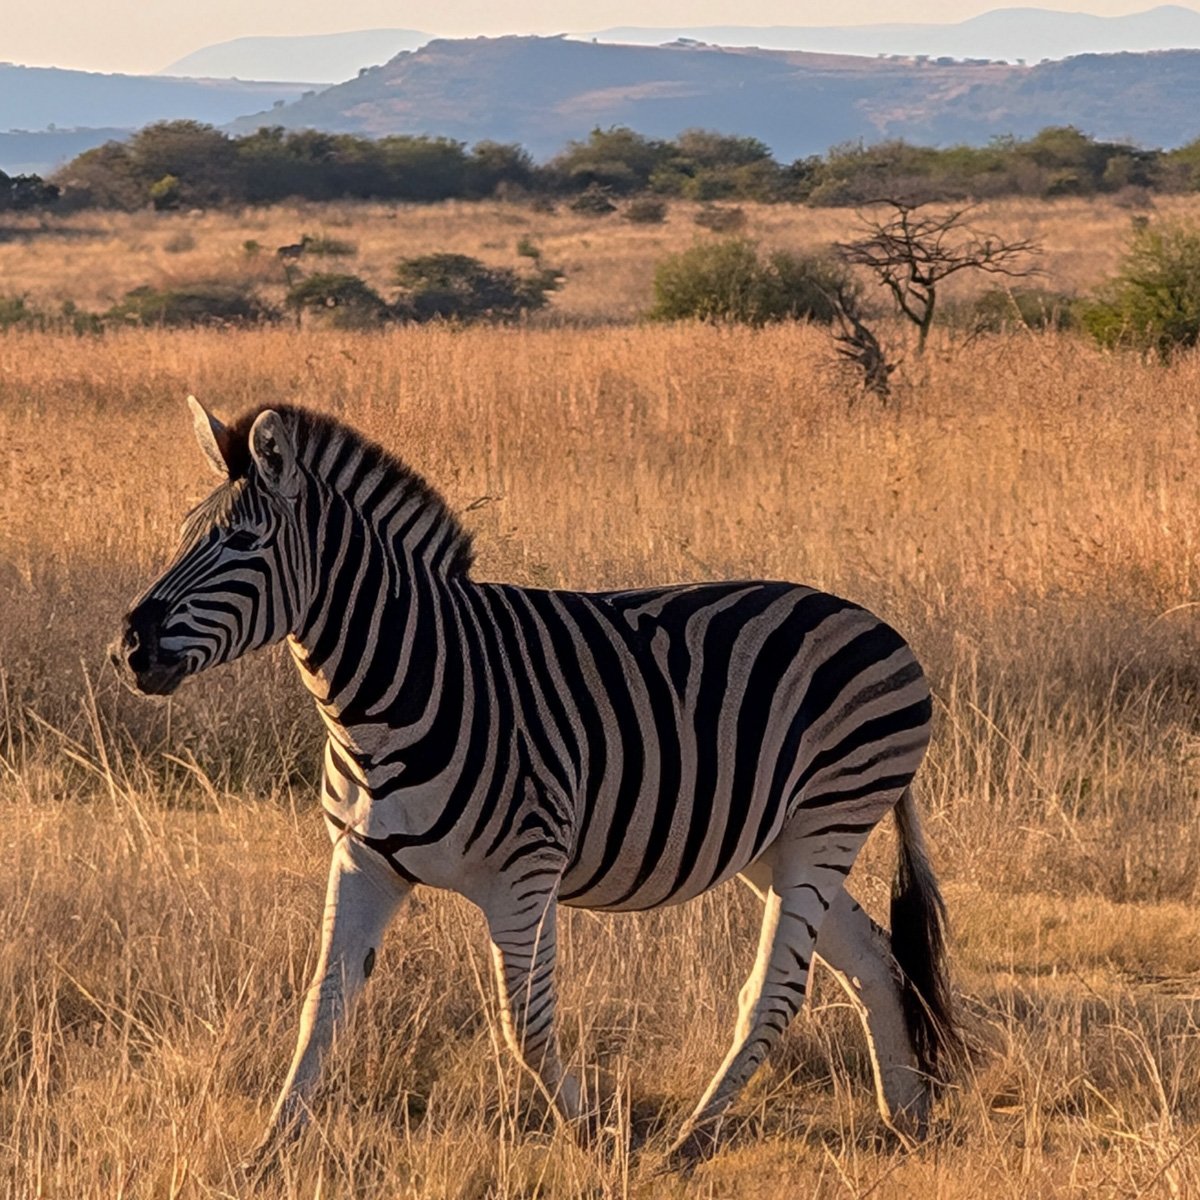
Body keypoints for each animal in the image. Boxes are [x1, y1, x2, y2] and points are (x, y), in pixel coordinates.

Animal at [111, 397, 958, 1165]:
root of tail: (875, 623)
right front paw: (267, 1152)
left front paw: (595, 1140)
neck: (390, 693)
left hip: (827, 818)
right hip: (770, 840)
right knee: (874, 956)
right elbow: (324, 1005)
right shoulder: (362, 860)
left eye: (242, 542)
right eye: (184, 535)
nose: (130, 649)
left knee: (778, 989)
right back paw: (905, 1122)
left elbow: (526, 1023)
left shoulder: (524, 873)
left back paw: (689, 1142)